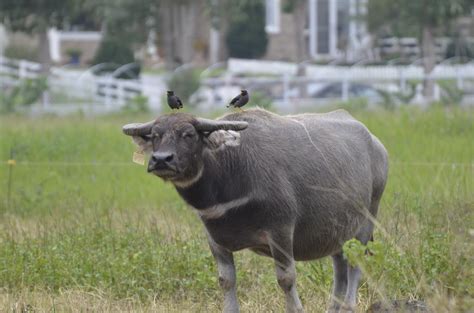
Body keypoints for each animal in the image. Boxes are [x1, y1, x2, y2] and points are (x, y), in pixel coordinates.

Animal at [122, 108, 388, 312]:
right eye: (155, 136)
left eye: (188, 134)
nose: (161, 159)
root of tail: (378, 146)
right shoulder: (215, 238)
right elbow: (226, 280)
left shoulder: (281, 231)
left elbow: (286, 279)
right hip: (337, 234)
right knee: (340, 268)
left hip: (366, 223)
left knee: (355, 267)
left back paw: (350, 305)